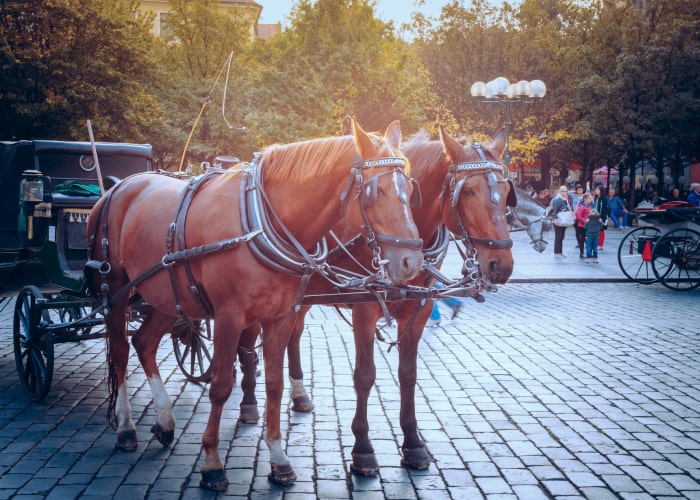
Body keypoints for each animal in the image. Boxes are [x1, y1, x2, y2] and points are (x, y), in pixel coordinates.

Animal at [82, 118, 422, 492]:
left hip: (165, 296)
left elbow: (274, 383)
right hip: (116, 290)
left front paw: (279, 459)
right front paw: (212, 463)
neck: (259, 221)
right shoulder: (229, 317)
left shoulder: (278, 318)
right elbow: (220, 386)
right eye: (376, 192)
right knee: (120, 350)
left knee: (145, 343)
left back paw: (166, 420)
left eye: (410, 188)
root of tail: (117, 188)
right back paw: (126, 427)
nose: (412, 262)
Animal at [238, 127, 516, 482]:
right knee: (249, 342)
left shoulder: (418, 310)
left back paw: (299, 395)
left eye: (507, 190)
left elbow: (408, 374)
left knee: (294, 336)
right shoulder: (365, 308)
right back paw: (248, 403)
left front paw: (413, 444)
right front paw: (363, 450)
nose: (501, 265)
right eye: (467, 191)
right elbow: (365, 375)